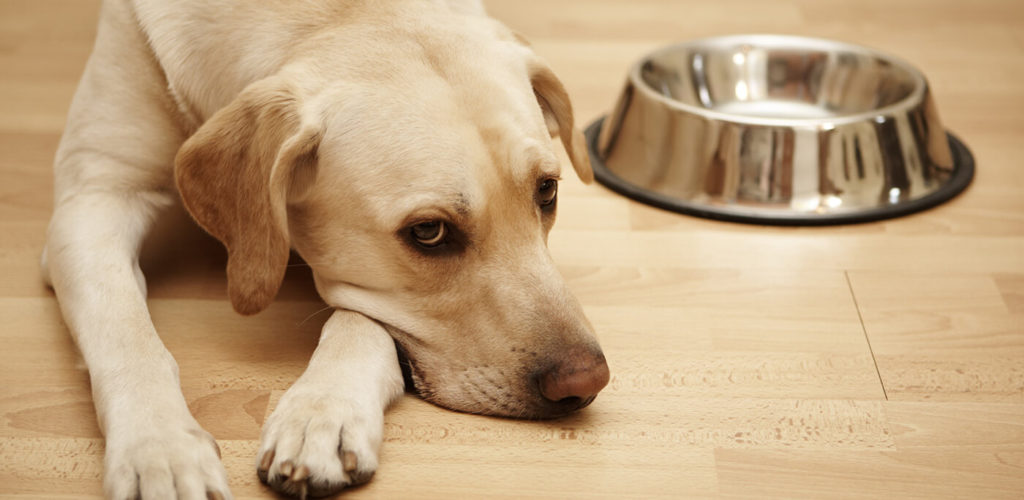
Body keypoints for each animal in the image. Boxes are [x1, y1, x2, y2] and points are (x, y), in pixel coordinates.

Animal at [41, 0, 606, 497]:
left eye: (547, 191)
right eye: (429, 232)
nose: (587, 380)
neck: (325, 13)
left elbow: (360, 321)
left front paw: (322, 415)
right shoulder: (93, 198)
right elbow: (127, 335)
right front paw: (160, 451)